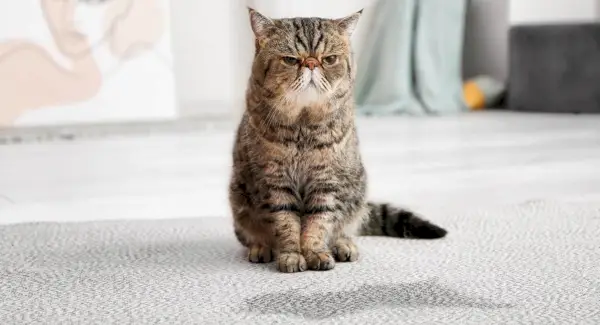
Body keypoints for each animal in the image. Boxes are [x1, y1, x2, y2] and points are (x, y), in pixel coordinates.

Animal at [230, 7, 446, 272]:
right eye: (290, 60)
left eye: (329, 59)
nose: (312, 63)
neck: (303, 127)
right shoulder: (276, 182)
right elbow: (286, 223)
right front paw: (291, 255)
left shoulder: (327, 181)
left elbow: (318, 222)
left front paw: (315, 252)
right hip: (238, 201)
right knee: (250, 235)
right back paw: (261, 247)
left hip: (357, 194)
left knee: (345, 228)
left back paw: (344, 245)